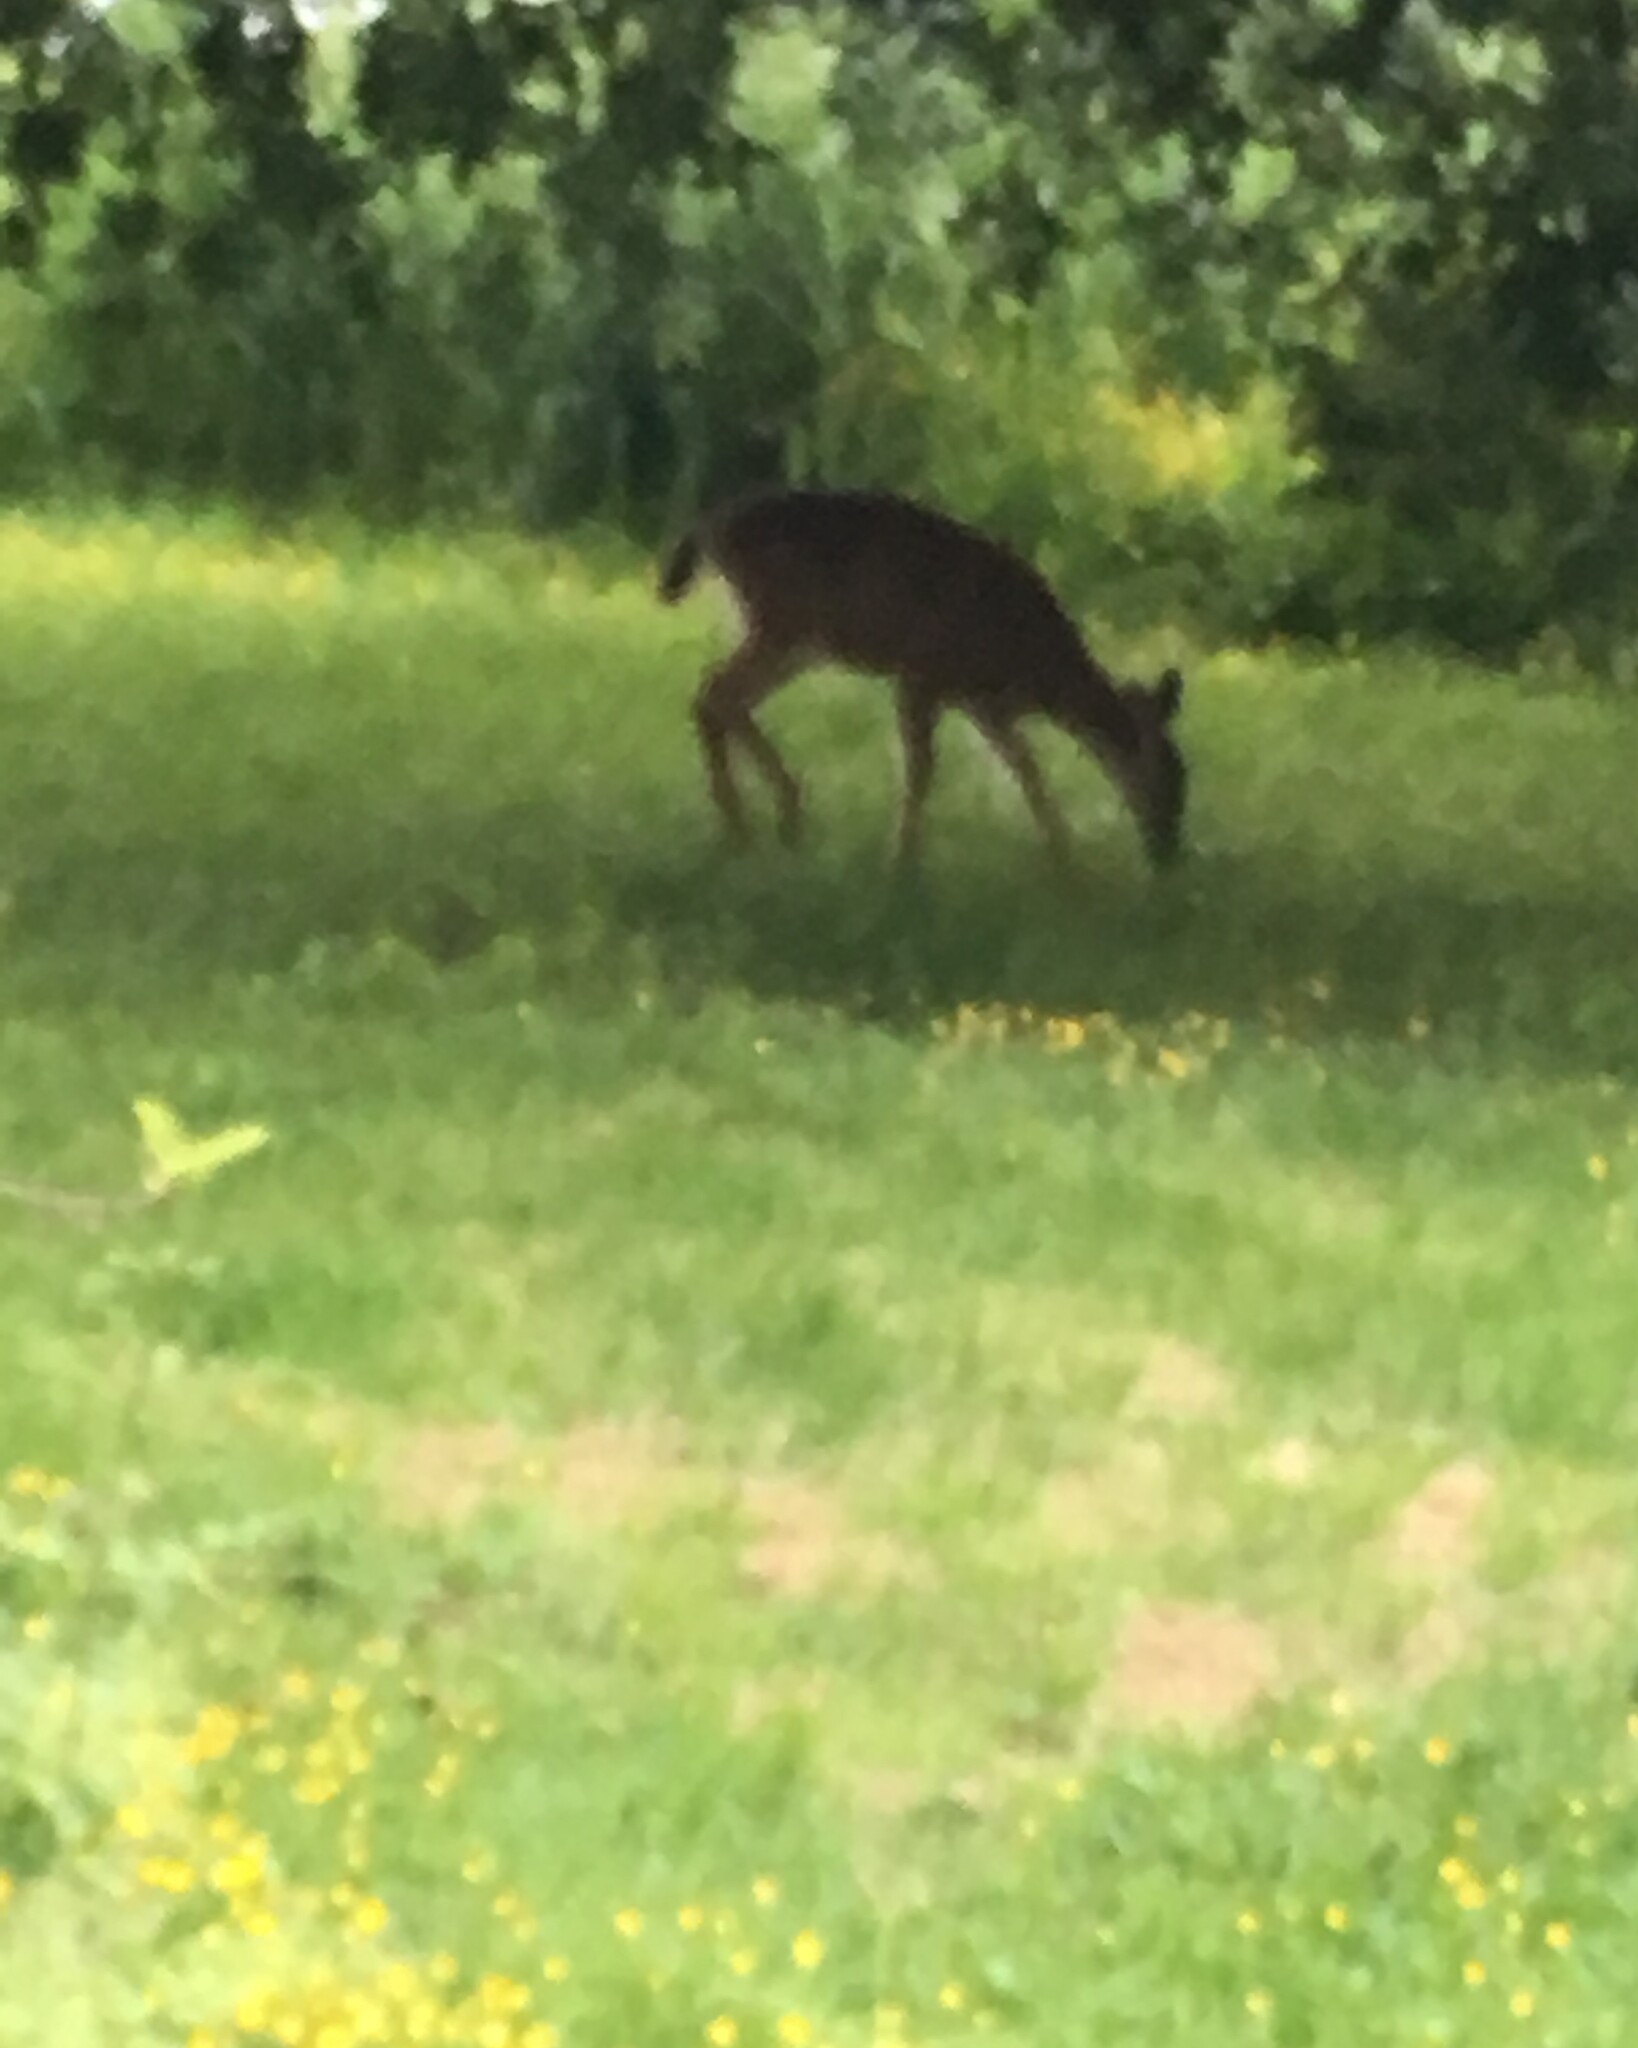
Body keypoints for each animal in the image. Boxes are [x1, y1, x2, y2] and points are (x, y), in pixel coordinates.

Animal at [655, 485, 1187, 872]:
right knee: (717, 692)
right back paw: (767, 820)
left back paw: (761, 826)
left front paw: (1066, 862)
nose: (1169, 852)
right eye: (1170, 775)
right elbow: (924, 769)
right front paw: (904, 863)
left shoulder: (982, 703)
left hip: (796, 639)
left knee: (717, 696)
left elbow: (1026, 768)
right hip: (785, 622)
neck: (1037, 670)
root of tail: (709, 527)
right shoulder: (921, 675)